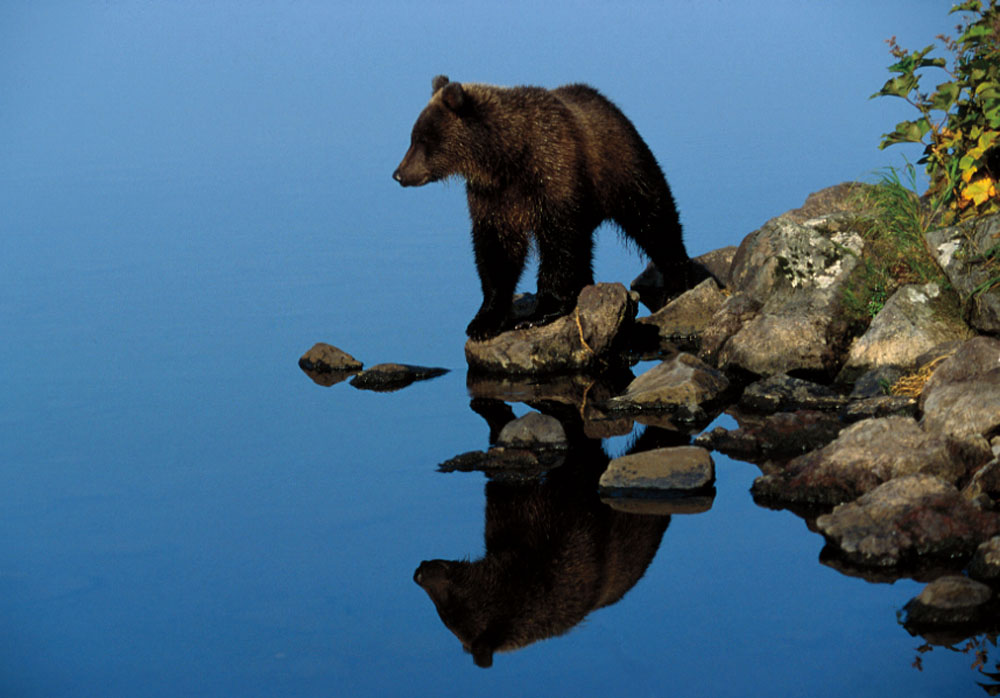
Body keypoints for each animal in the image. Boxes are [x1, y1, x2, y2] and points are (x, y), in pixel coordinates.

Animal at [394, 74, 692, 340]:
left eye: (423, 139)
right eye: (414, 136)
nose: (399, 173)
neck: (506, 158)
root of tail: (609, 104)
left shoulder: (553, 175)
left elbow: (558, 244)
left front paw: (541, 311)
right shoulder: (493, 199)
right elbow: (497, 252)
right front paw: (484, 320)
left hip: (622, 167)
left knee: (652, 217)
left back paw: (677, 280)